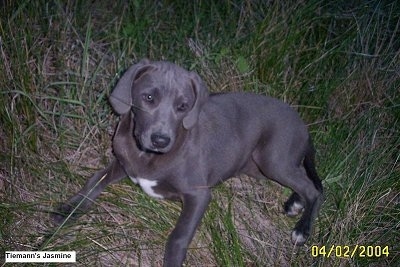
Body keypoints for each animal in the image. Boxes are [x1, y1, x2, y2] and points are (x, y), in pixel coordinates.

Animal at [54, 59, 324, 266]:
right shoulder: (123, 161)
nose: (160, 140)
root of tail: (304, 126)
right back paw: (295, 204)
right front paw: (70, 209)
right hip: (257, 165)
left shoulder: (199, 195)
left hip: (272, 158)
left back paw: (302, 229)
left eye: (183, 106)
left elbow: (179, 236)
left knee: (313, 189)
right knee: (304, 180)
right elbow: (94, 179)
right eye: (148, 97)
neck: (148, 155)